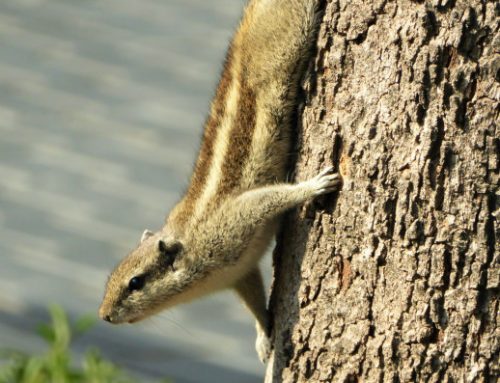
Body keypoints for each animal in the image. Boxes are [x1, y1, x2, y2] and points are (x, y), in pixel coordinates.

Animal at [97, 0, 340, 364]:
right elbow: (255, 300)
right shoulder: (240, 272)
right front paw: (263, 337)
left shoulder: (233, 222)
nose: (104, 315)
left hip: (290, 41)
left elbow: (269, 198)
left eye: (135, 283)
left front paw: (313, 186)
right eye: (112, 278)